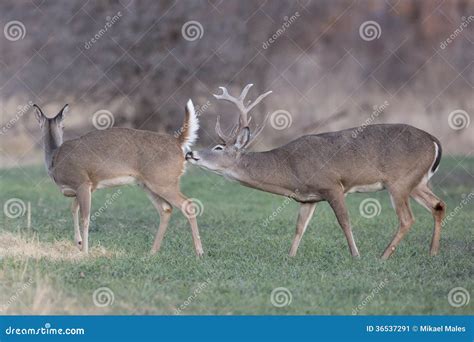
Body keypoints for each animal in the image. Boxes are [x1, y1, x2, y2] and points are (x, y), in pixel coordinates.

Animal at [33, 101, 204, 256]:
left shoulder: (83, 182)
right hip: (148, 184)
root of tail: (177, 142)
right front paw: (79, 244)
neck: (55, 158)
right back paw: (152, 252)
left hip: (164, 181)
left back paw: (199, 252)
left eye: (64, 127)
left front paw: (85, 252)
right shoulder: (87, 187)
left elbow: (85, 218)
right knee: (166, 209)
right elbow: (73, 209)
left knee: (188, 205)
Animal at [187, 85, 446, 260]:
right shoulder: (307, 198)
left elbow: (344, 221)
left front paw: (356, 255)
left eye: (218, 148)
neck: (289, 169)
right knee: (438, 205)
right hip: (417, 182)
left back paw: (383, 256)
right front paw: (290, 256)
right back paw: (432, 252)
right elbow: (299, 227)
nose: (190, 153)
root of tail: (434, 141)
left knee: (407, 218)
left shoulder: (332, 185)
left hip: (399, 181)